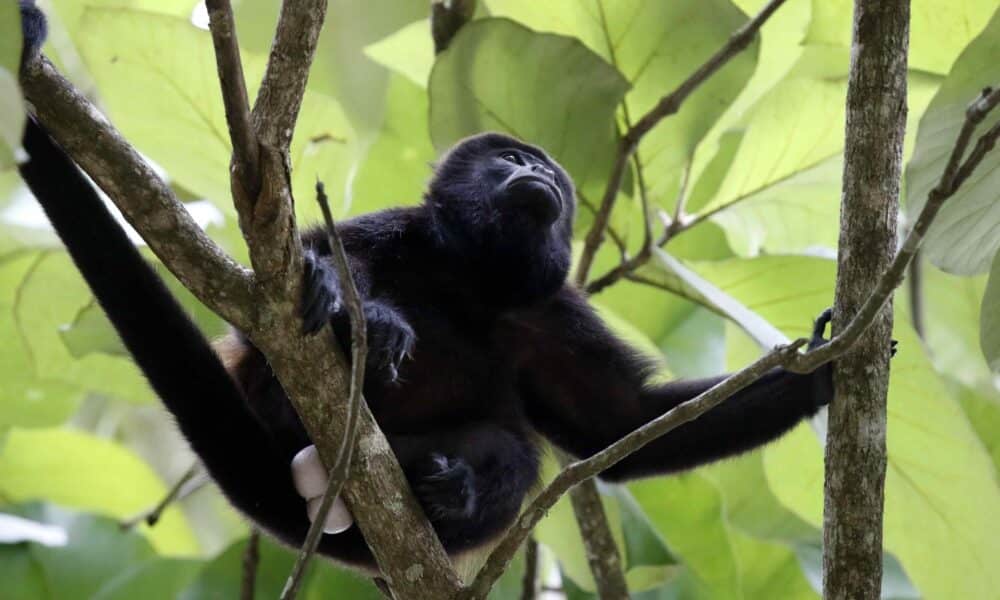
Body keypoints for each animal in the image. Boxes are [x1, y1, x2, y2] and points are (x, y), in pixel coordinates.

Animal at [17, 4, 836, 576]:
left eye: (550, 174)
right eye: (510, 156)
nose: (537, 171)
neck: (469, 277)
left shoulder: (551, 313)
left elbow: (615, 420)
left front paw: (819, 374)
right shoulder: (399, 228)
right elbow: (277, 283)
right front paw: (357, 307)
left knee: (513, 450)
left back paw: (451, 496)